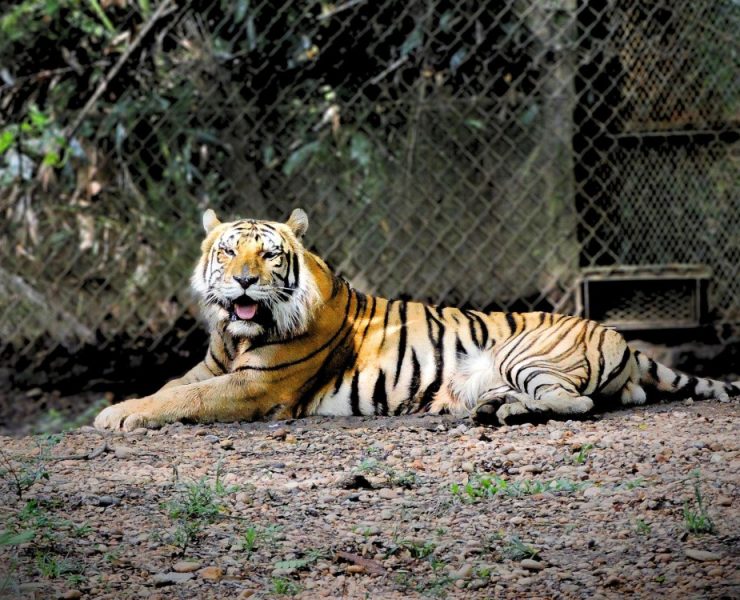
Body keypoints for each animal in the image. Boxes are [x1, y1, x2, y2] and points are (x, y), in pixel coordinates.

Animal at [94, 208, 740, 431]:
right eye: (228, 252)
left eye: (269, 255)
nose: (245, 282)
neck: (237, 335)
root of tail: (617, 336)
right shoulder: (213, 366)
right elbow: (172, 386)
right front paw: (121, 405)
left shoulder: (258, 386)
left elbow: (186, 399)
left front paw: (116, 416)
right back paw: (493, 407)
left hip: (523, 352)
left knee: (577, 403)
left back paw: (504, 414)